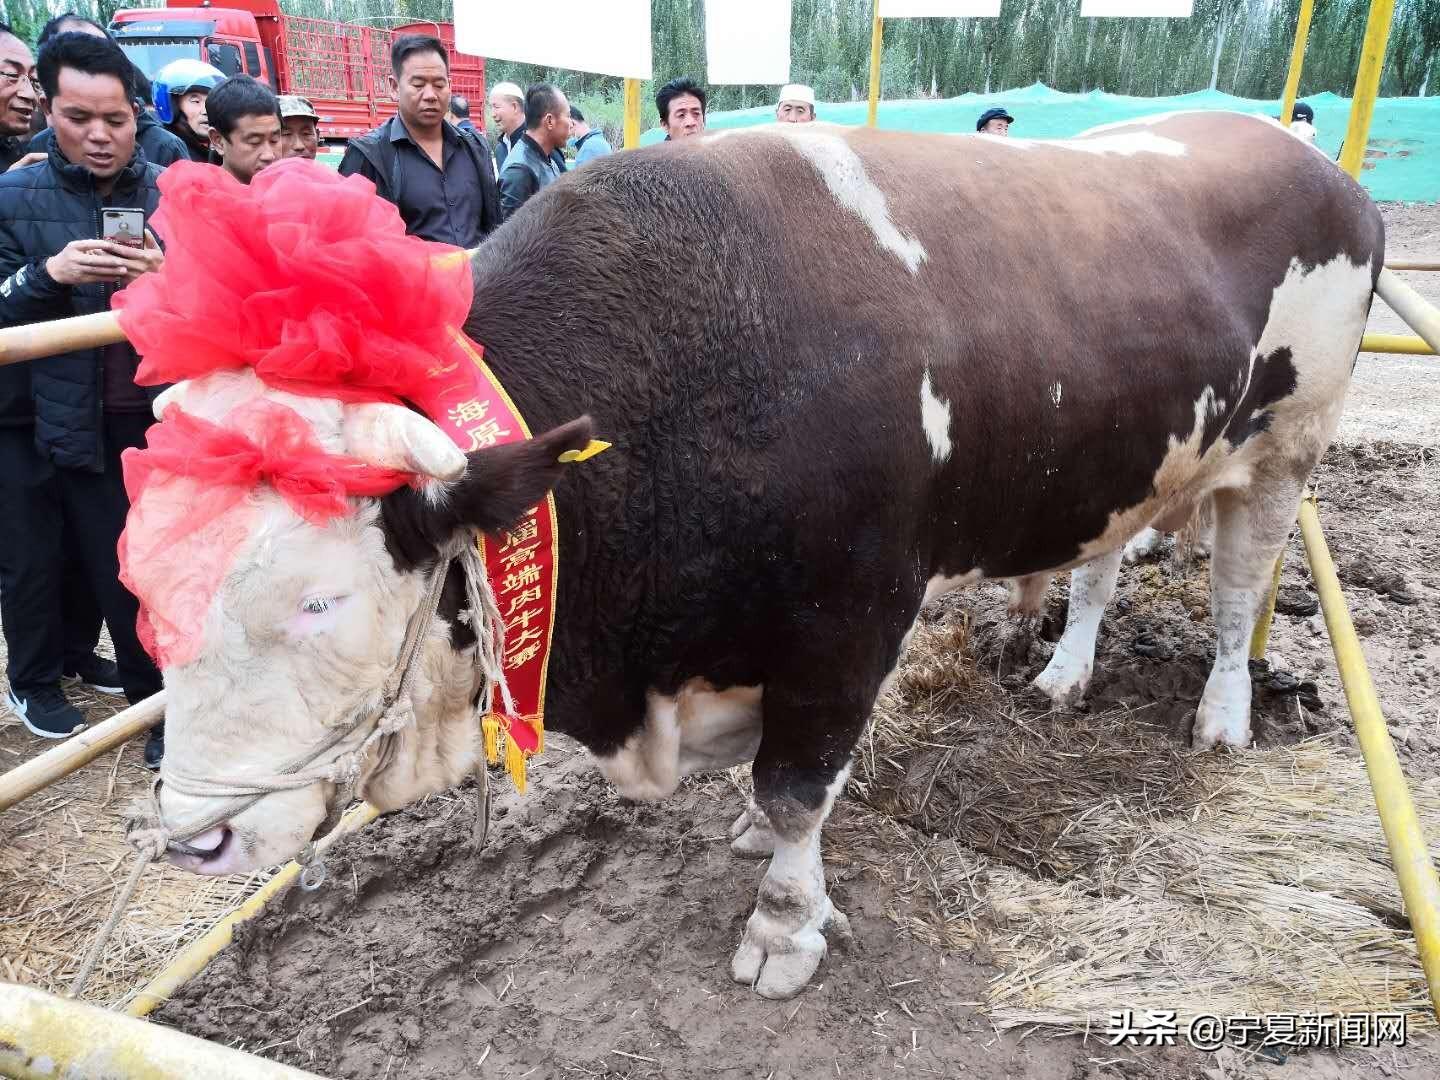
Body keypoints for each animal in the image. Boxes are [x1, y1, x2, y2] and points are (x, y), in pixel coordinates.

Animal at [151, 114, 1376, 1002]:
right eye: (146, 583)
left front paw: (786, 928)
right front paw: (754, 842)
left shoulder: (849, 621)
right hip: (1131, 466)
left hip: (1289, 446)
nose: (193, 838)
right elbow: (768, 792)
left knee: (1238, 591)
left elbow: (797, 791)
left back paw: (1222, 715)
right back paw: (1066, 673)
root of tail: (1310, 156)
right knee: (1099, 567)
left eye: (318, 602)